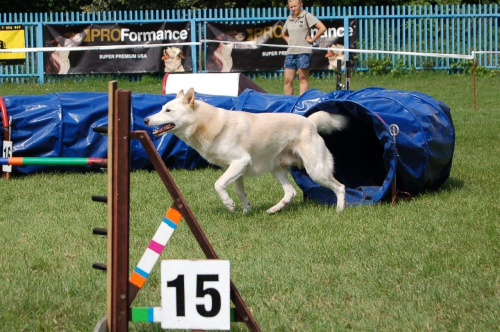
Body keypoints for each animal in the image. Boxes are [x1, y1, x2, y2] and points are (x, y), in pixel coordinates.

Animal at [145, 89, 348, 213]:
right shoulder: (235, 169)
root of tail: (311, 122)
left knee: (340, 187)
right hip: (276, 168)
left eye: (168, 110)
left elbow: (218, 184)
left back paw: (339, 210)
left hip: (316, 171)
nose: (146, 120)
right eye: (161, 108)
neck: (208, 124)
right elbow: (239, 191)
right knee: (290, 192)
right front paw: (246, 210)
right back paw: (274, 209)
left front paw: (229, 205)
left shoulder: (240, 162)